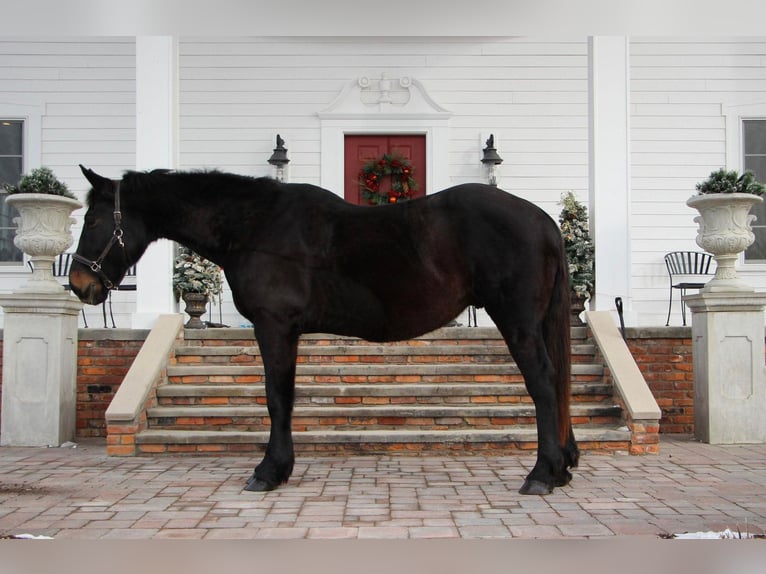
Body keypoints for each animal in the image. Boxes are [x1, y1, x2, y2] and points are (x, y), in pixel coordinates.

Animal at [70, 165, 576, 496]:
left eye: (93, 219)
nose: (79, 284)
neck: (254, 227)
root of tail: (543, 222)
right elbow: (285, 398)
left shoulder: (274, 327)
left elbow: (277, 398)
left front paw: (269, 472)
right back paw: (562, 468)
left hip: (517, 323)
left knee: (543, 385)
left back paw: (541, 474)